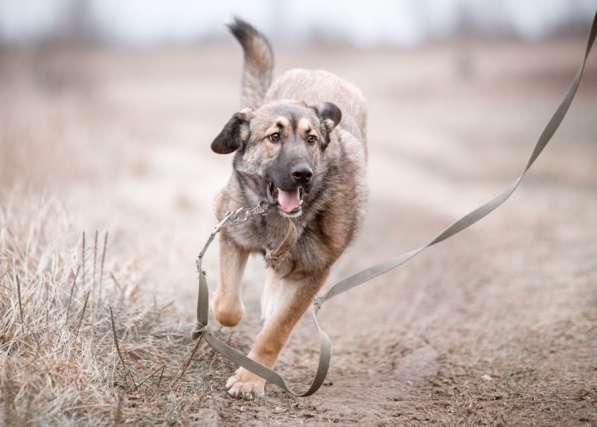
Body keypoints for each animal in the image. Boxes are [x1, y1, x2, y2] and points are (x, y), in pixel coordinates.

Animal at [210, 18, 368, 400]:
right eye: (274, 137)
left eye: (311, 140)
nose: (302, 174)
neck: (277, 220)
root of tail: (320, 72)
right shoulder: (230, 232)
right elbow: (228, 306)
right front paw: (220, 304)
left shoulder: (314, 273)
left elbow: (277, 331)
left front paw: (251, 378)